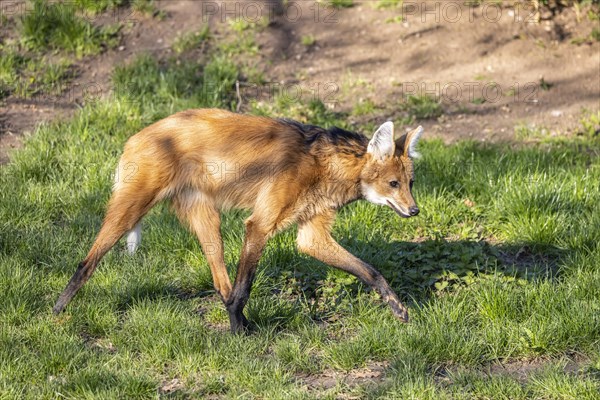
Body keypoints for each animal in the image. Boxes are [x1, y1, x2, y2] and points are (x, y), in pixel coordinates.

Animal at [54, 108, 424, 332]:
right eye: (393, 184)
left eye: (410, 183)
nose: (414, 211)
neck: (326, 167)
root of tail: (136, 135)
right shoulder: (260, 224)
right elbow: (244, 287)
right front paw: (237, 332)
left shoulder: (311, 235)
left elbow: (370, 271)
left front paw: (399, 309)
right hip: (131, 208)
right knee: (86, 262)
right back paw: (57, 311)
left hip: (208, 221)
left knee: (220, 280)